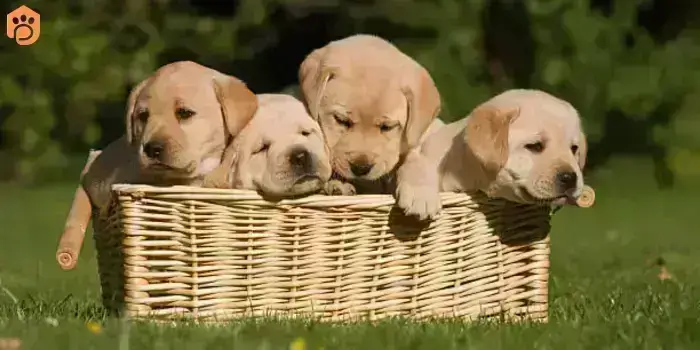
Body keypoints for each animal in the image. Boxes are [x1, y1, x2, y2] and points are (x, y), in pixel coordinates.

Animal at [298, 33, 440, 196]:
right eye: (341, 120)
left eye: (387, 127)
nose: (361, 168)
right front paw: (336, 185)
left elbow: (416, 156)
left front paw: (419, 192)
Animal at [396, 90, 588, 220]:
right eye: (535, 146)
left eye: (574, 149)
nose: (570, 178)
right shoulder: (424, 153)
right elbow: (416, 165)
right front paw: (421, 197)